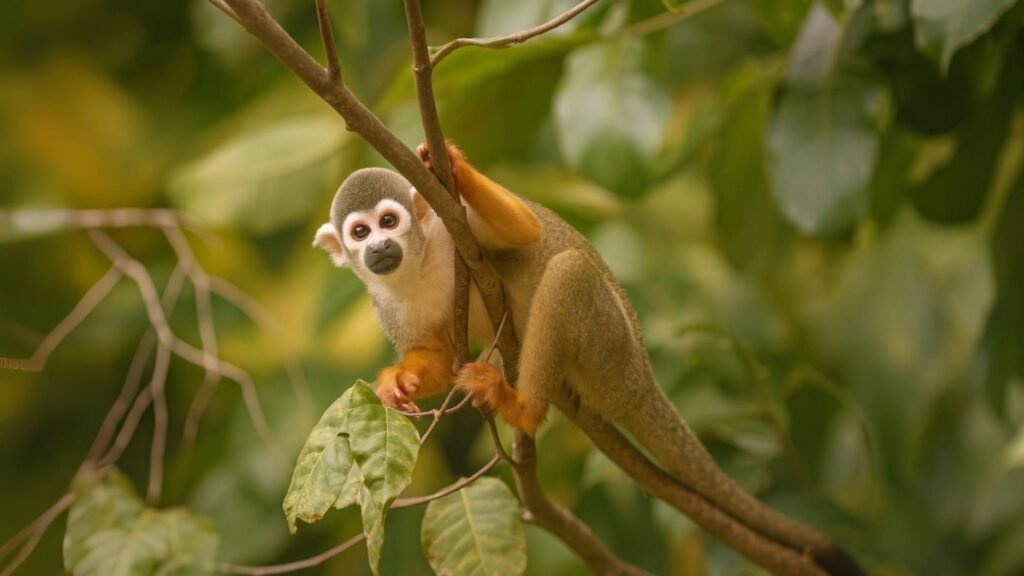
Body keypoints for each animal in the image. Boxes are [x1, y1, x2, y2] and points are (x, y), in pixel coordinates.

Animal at [314, 144, 863, 576]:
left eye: (390, 221)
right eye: (360, 233)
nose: (380, 247)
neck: (419, 261)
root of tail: (642, 377)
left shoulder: (453, 226)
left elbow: (525, 233)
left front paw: (451, 161)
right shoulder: (384, 303)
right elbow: (441, 355)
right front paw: (397, 384)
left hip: (610, 349)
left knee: (568, 270)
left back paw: (522, 407)